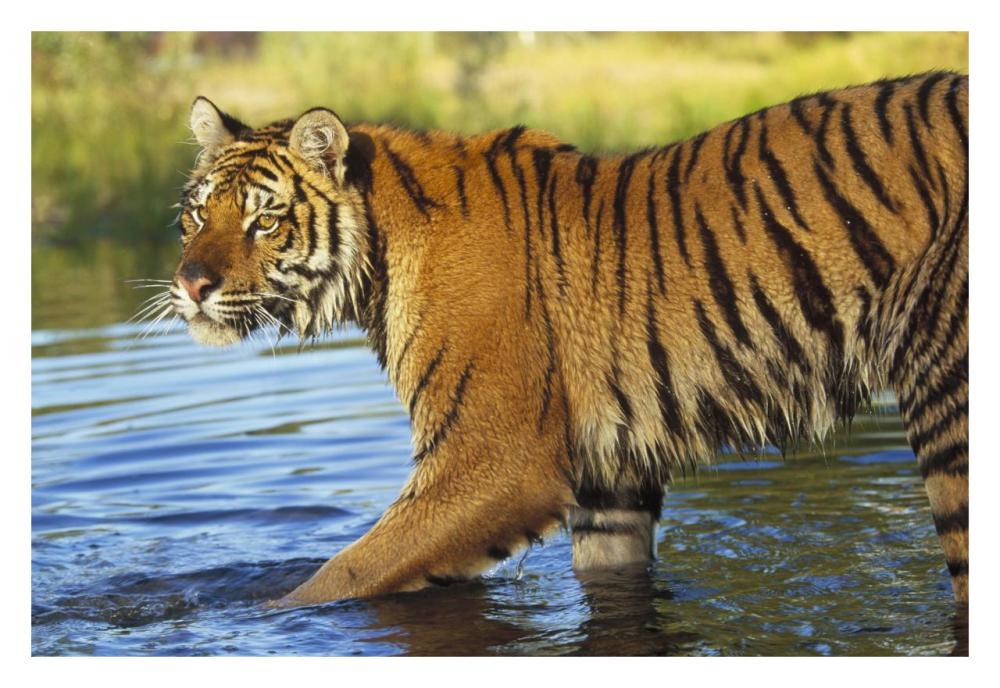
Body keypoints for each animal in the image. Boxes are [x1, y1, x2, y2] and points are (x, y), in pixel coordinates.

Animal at [170, 71, 968, 607]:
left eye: (263, 221)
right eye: (197, 215)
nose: (190, 283)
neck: (378, 261)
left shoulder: (494, 459)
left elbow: (343, 574)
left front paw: (261, 615)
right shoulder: (610, 473)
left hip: (948, 397)